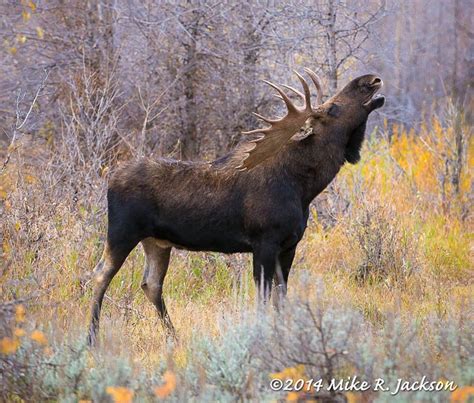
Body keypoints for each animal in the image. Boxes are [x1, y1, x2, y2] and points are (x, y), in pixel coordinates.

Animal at [88, 67, 386, 344]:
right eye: (332, 109)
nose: (371, 79)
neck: (303, 188)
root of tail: (110, 177)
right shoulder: (264, 242)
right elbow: (264, 297)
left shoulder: (290, 245)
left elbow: (281, 296)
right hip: (122, 232)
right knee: (100, 275)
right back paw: (92, 337)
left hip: (157, 242)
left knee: (151, 284)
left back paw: (174, 337)